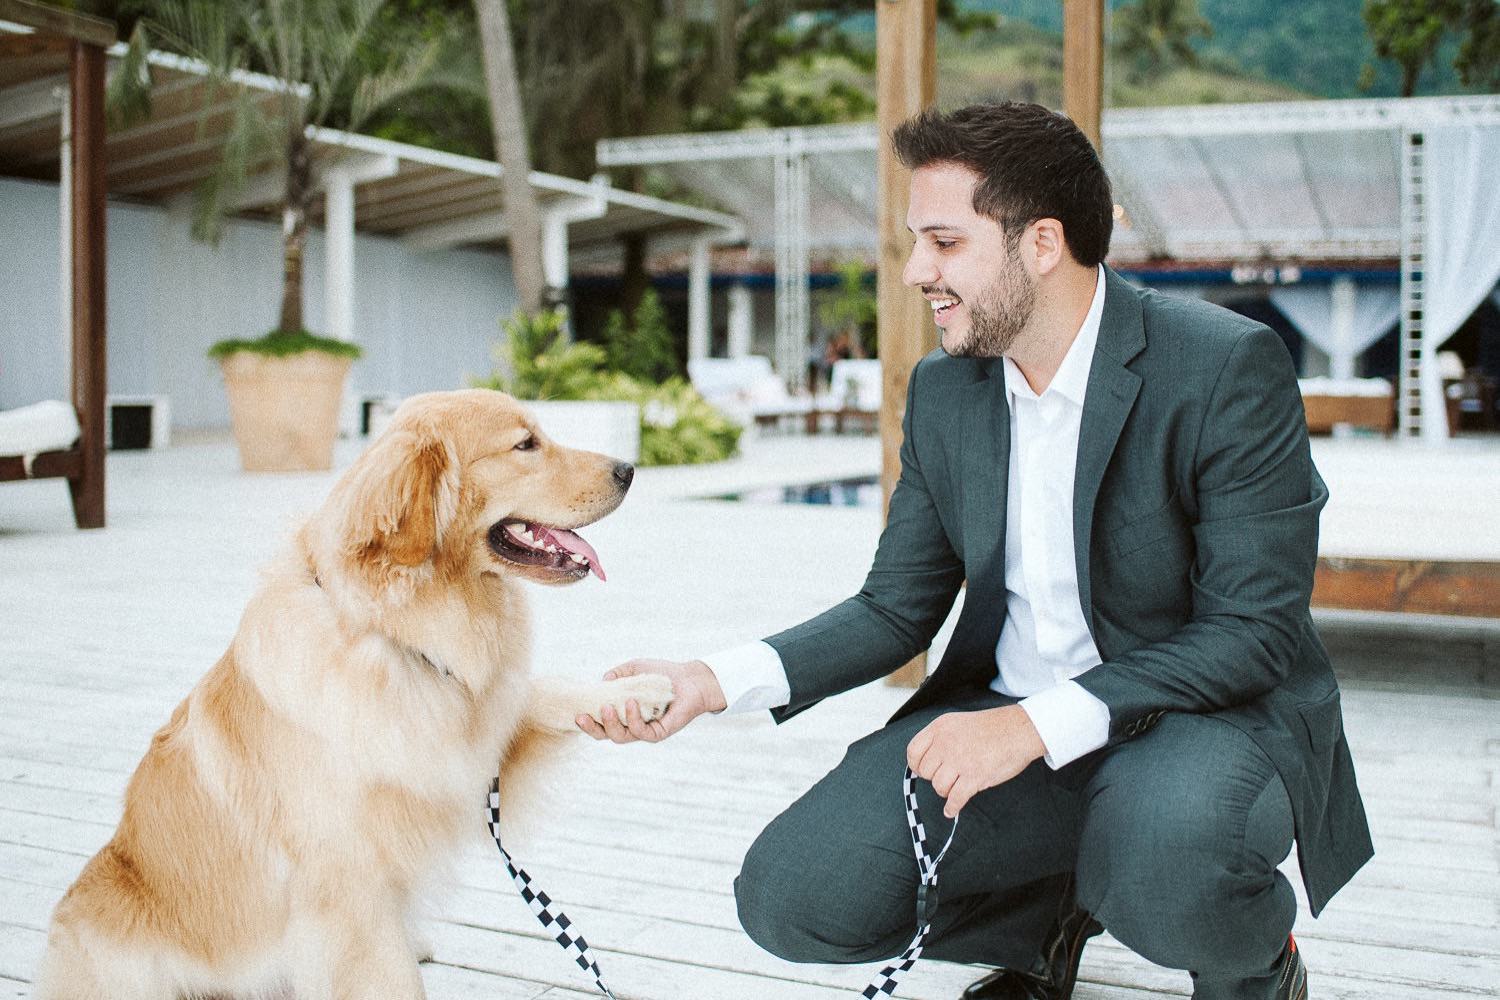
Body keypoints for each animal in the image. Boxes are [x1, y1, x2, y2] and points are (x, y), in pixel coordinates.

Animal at [32, 386, 678, 995]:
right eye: (525, 445)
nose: (628, 469)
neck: (394, 632)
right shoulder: (349, 887)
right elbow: (391, 979)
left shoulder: (472, 740)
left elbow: (540, 690)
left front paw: (642, 689)